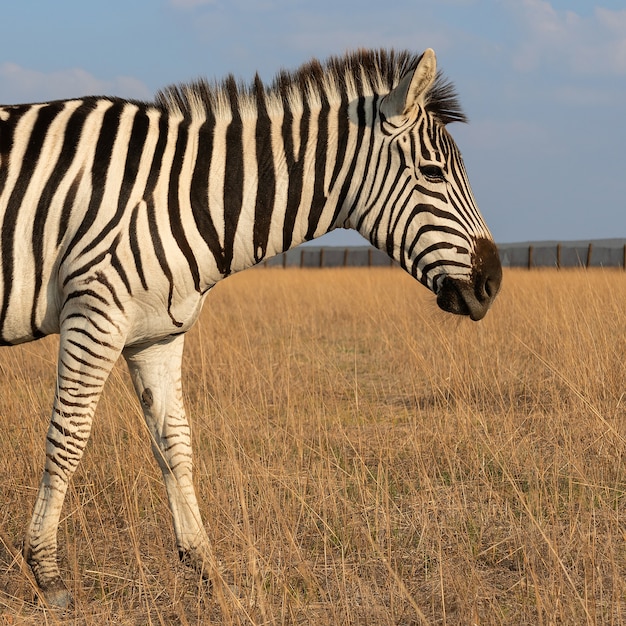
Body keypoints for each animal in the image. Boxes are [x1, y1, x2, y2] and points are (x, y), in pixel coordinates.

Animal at [0, 48, 498, 604]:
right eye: (432, 173)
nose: (493, 282)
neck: (182, 195)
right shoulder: (94, 313)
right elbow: (69, 438)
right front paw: (47, 573)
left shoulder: (156, 335)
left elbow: (176, 444)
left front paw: (206, 567)